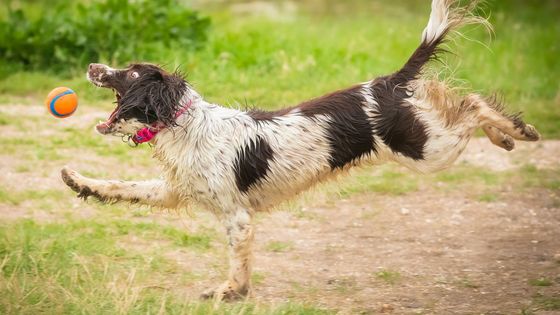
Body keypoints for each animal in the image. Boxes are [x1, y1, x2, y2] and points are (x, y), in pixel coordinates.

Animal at [60, 0, 540, 302]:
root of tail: (387, 82)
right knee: (466, 103)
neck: (186, 124)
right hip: (428, 143)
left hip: (427, 149)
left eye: (129, 73)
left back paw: (516, 131)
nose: (92, 65)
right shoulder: (175, 190)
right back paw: (507, 135)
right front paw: (77, 181)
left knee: (473, 104)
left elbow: (237, 263)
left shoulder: (237, 217)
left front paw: (229, 292)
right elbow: (120, 186)